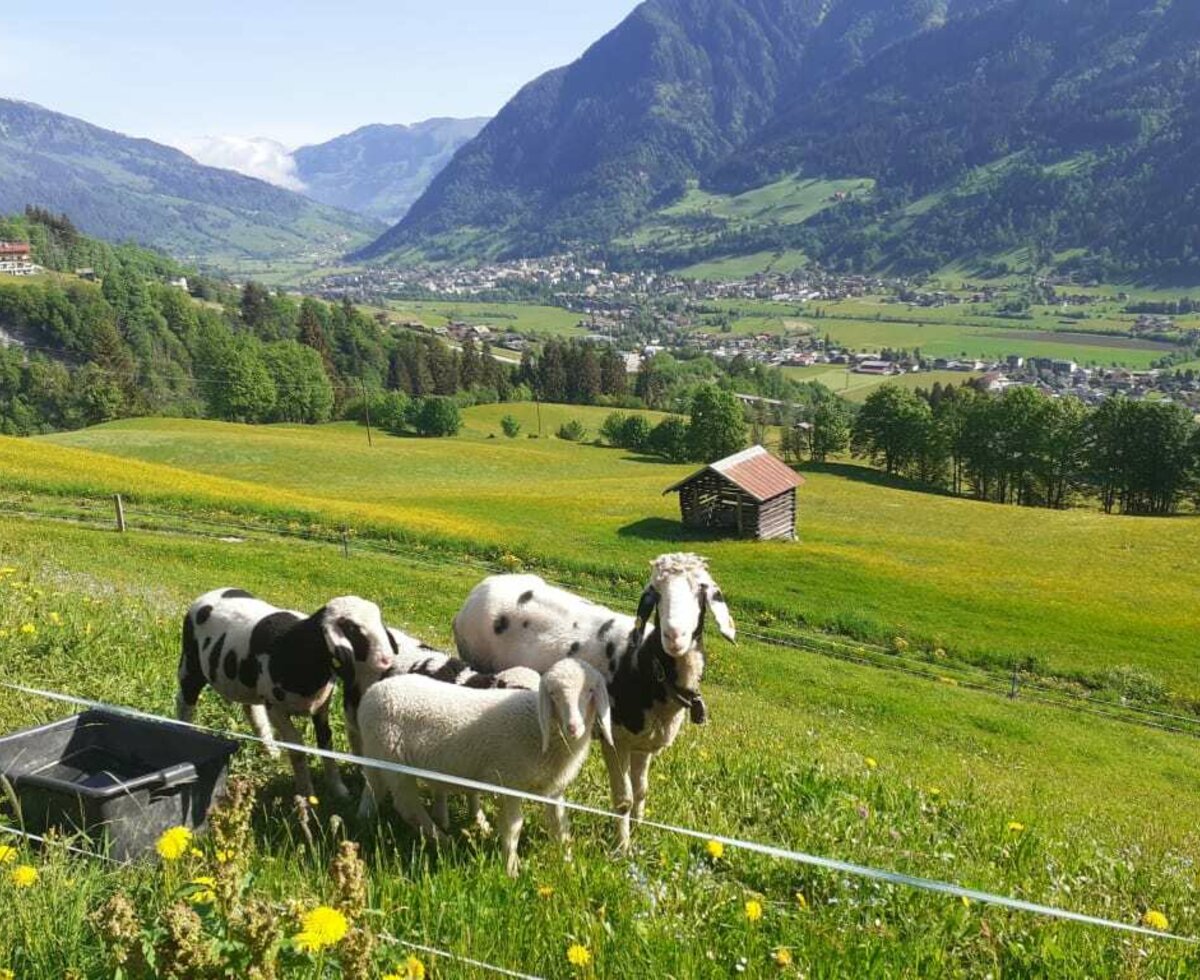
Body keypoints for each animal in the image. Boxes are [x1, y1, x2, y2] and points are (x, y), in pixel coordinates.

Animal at [175, 585, 396, 801]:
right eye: (352, 628)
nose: (387, 660)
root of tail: (210, 593)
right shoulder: (276, 708)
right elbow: (297, 747)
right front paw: (307, 795)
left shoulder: (322, 706)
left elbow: (326, 742)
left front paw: (338, 790)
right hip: (190, 664)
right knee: (185, 703)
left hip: (248, 686)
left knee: (252, 711)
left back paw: (271, 751)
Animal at [357, 657, 614, 873]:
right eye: (553, 694)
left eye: (590, 690)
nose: (573, 728)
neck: (538, 728)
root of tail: (371, 694)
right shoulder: (508, 782)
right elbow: (513, 827)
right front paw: (511, 869)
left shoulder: (553, 789)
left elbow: (560, 825)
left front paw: (569, 865)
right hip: (395, 760)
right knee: (408, 806)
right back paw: (443, 840)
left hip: (376, 752)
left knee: (372, 787)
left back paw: (364, 820)